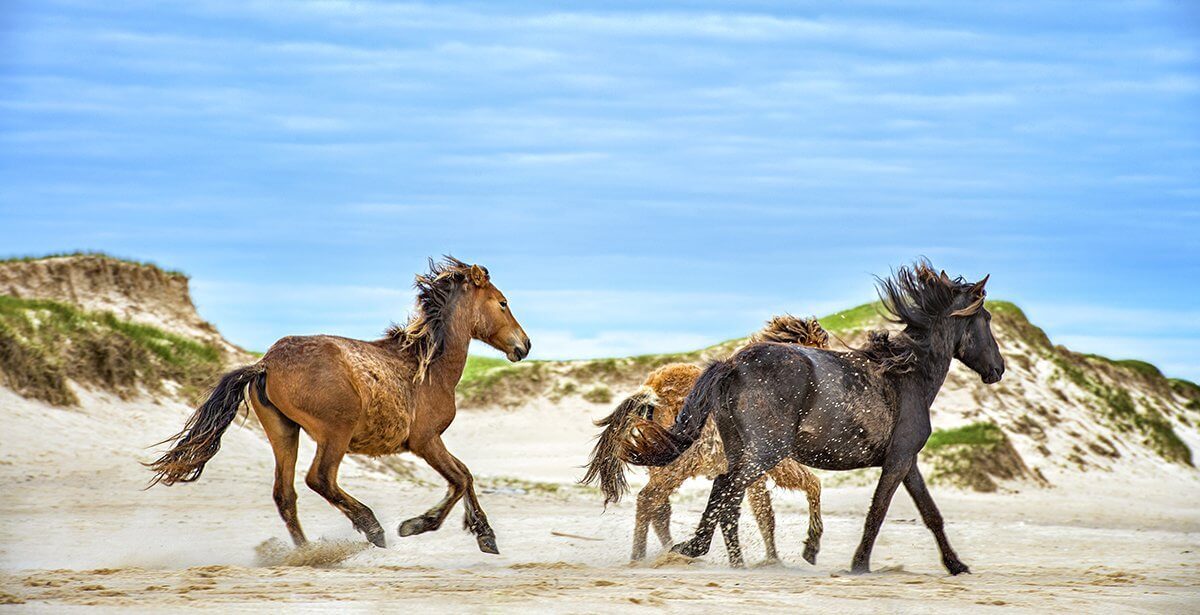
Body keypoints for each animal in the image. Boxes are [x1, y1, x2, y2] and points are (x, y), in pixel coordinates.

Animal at [146, 254, 530, 552]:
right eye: (503, 303)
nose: (524, 345)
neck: (429, 366)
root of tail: (265, 363)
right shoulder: (425, 441)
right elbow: (461, 478)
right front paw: (419, 525)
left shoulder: (430, 442)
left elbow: (464, 475)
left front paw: (484, 535)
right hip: (336, 432)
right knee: (319, 479)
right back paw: (372, 528)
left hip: (284, 432)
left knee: (285, 494)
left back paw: (307, 552)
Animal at [580, 317, 825, 566]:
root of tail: (651, 390)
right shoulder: (775, 463)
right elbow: (809, 485)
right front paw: (784, 555)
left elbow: (760, 512)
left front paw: (759, 560)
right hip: (679, 463)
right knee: (648, 499)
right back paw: (641, 557)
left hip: (660, 461)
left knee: (660, 508)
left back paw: (669, 552)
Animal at [624, 261, 1008, 574]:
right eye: (987, 320)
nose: (998, 369)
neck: (908, 375)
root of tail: (733, 364)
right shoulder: (898, 461)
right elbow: (877, 512)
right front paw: (858, 565)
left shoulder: (906, 461)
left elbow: (931, 514)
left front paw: (957, 565)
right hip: (764, 452)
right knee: (723, 489)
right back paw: (692, 549)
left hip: (741, 450)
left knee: (726, 499)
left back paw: (725, 559)